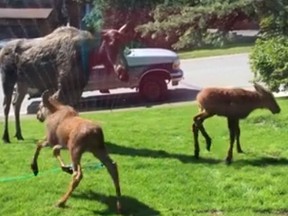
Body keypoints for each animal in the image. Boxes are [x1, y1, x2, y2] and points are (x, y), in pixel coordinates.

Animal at [0, 24, 129, 143]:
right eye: (111, 44)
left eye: (124, 44)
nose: (124, 73)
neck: (89, 56)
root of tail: (2, 50)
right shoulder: (64, 84)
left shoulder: (76, 88)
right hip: (7, 79)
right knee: (6, 106)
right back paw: (6, 136)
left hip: (22, 83)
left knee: (16, 104)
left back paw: (19, 134)